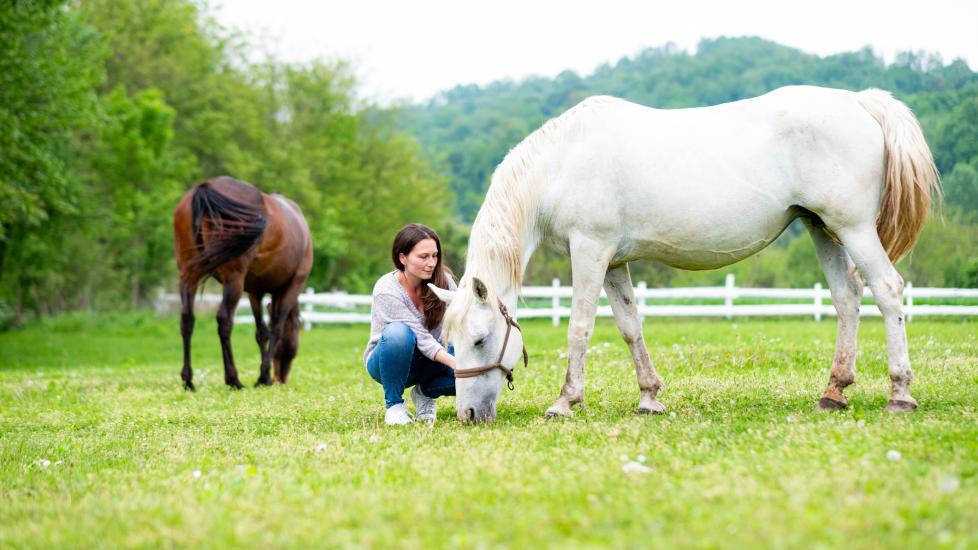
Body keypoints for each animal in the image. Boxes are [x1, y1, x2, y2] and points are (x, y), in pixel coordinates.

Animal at [173, 176, 313, 390]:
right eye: (293, 347)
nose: (280, 379)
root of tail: (206, 187)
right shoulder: (293, 285)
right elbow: (276, 328)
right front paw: (263, 377)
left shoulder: (255, 292)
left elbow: (261, 331)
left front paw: (264, 376)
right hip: (234, 280)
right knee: (224, 321)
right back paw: (233, 379)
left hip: (189, 277)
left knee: (187, 320)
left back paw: (188, 380)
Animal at [429, 86, 939, 423]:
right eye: (450, 341)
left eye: (479, 340)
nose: (467, 414)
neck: (560, 164)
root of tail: (860, 102)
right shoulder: (614, 262)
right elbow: (630, 327)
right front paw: (649, 397)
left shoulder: (590, 251)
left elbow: (580, 327)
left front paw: (565, 401)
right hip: (822, 229)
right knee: (847, 300)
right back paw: (834, 392)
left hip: (854, 228)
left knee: (888, 291)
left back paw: (899, 393)